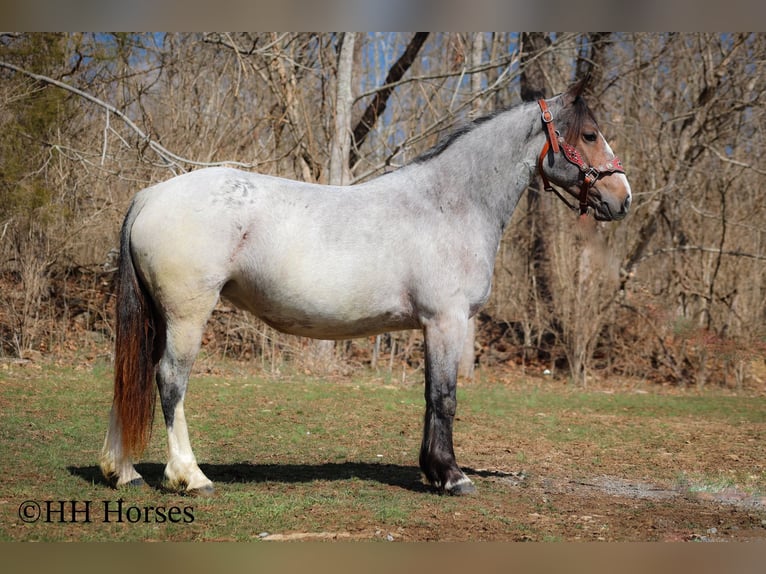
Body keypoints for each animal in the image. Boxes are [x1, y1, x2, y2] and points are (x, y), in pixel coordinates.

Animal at [99, 79, 632, 498]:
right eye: (589, 134)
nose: (623, 198)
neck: (450, 203)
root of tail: (150, 196)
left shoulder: (434, 326)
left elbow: (430, 396)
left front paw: (433, 471)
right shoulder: (446, 321)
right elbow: (444, 397)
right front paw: (452, 476)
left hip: (157, 318)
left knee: (132, 374)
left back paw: (122, 471)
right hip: (188, 315)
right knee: (170, 379)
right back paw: (190, 476)